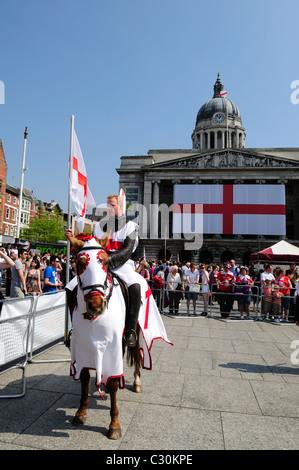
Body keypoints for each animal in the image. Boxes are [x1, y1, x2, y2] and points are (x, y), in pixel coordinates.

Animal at [65, 233, 173, 438]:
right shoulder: (82, 347)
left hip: (136, 332)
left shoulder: (112, 346)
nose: (96, 304)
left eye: (105, 262)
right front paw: (81, 412)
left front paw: (114, 425)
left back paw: (137, 382)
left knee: (137, 355)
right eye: (79, 263)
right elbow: (84, 378)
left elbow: (115, 383)